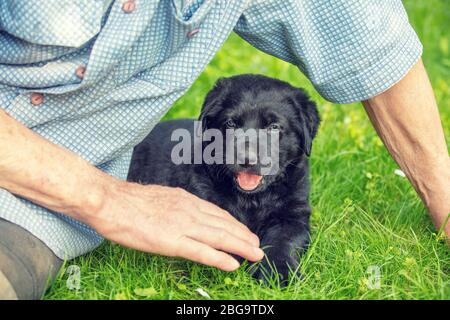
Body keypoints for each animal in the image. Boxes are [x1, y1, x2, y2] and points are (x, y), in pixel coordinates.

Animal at [126, 74, 320, 282]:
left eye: (274, 127)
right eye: (230, 124)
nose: (246, 159)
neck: (252, 199)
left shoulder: (294, 216)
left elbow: (283, 242)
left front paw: (280, 274)